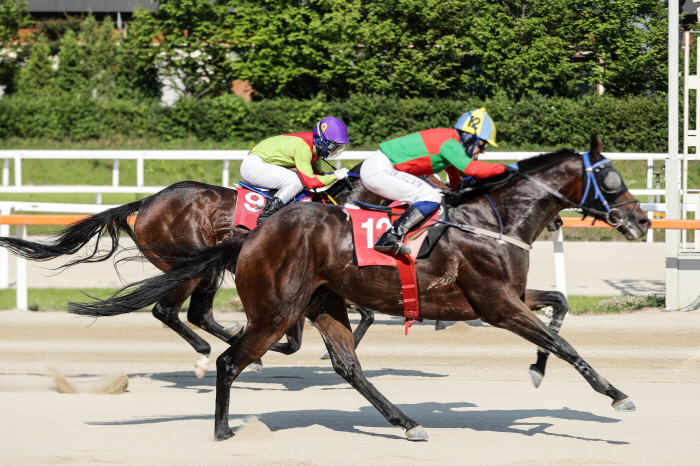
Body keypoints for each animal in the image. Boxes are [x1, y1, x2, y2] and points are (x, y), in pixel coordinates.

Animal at [68, 136, 648, 440]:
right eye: (612, 177)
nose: (642, 221)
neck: (493, 219)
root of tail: (149, 201)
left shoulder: (508, 297)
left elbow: (560, 309)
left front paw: (535, 372)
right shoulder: (496, 304)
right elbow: (563, 342)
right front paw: (616, 395)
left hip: (314, 298)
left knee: (345, 365)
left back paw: (406, 421)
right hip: (261, 297)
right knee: (214, 344)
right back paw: (224, 423)